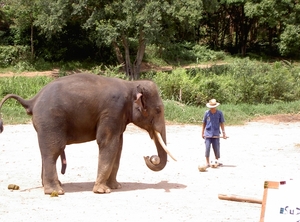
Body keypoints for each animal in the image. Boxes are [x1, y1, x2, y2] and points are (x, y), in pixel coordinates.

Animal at [0, 73, 176, 194]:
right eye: (158, 110)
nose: (150, 157)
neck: (131, 85)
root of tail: (32, 100)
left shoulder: (118, 117)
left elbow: (118, 147)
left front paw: (115, 186)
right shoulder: (112, 111)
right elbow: (107, 143)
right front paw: (102, 191)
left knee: (48, 152)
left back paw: (54, 186)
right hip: (50, 121)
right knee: (53, 151)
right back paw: (56, 191)